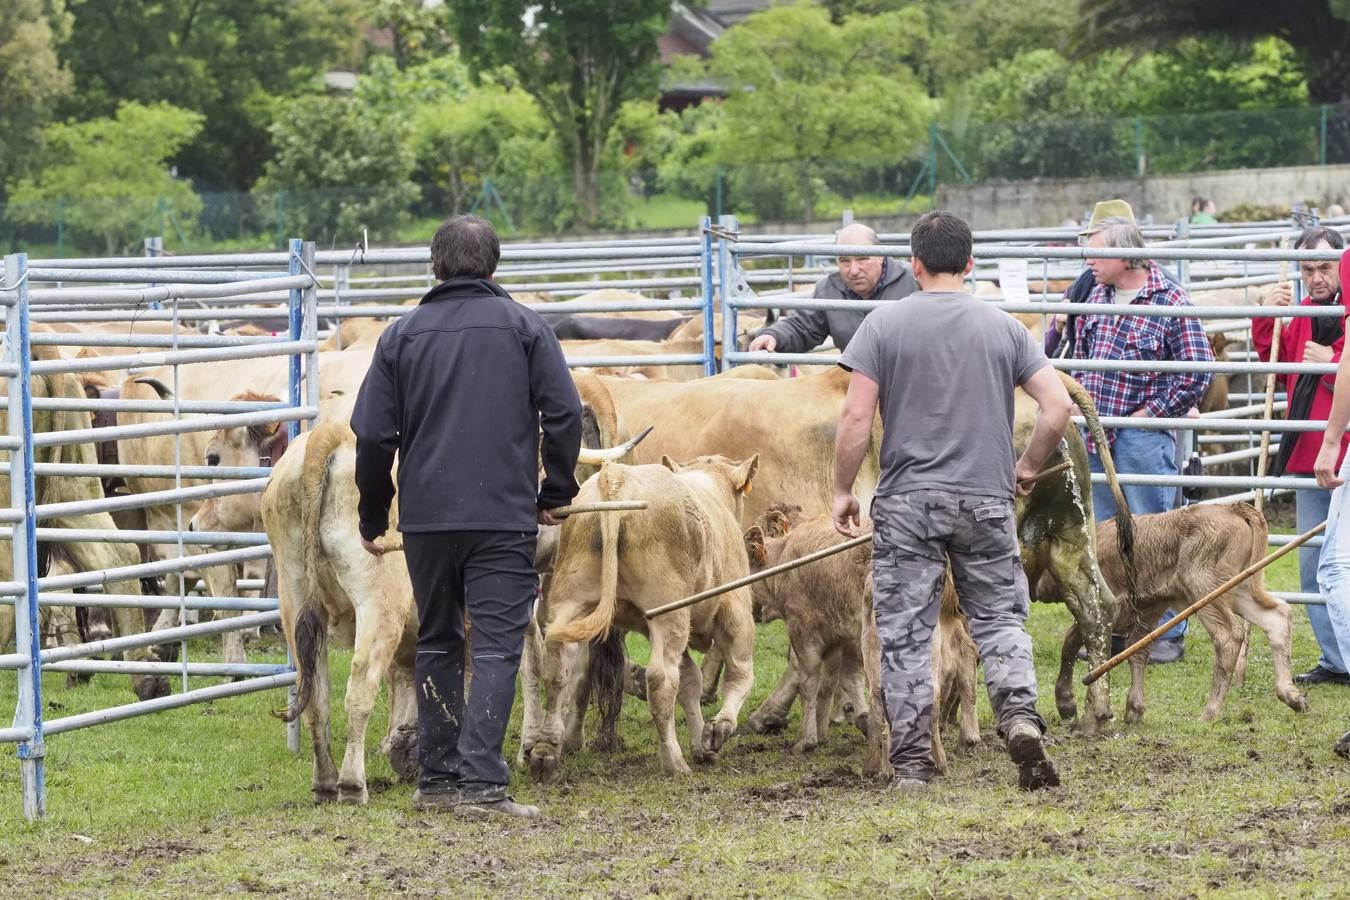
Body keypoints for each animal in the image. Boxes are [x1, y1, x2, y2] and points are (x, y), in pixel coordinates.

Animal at [523, 458, 761, 782]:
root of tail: (616, 476)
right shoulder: (735, 612)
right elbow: (739, 674)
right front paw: (717, 730)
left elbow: (690, 680)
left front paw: (702, 744)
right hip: (668, 613)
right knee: (661, 680)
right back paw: (674, 761)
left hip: (571, 603)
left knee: (559, 669)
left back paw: (545, 751)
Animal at [1063, 507, 1306, 723]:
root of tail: (1233, 508)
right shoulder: (1149, 608)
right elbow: (1137, 651)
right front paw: (1133, 710)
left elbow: (1074, 640)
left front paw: (1069, 704)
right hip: (1238, 588)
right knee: (1277, 616)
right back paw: (1292, 697)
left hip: (1204, 588)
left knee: (1228, 635)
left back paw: (1210, 713)